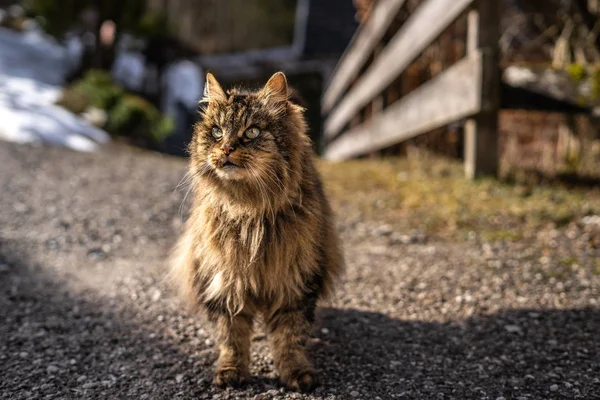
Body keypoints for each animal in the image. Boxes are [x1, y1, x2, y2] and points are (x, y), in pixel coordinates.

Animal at [171, 71, 344, 390]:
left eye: (251, 132)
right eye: (217, 132)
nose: (226, 148)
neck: (249, 210)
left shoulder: (296, 280)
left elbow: (291, 336)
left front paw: (296, 373)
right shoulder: (225, 280)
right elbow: (231, 336)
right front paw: (231, 371)